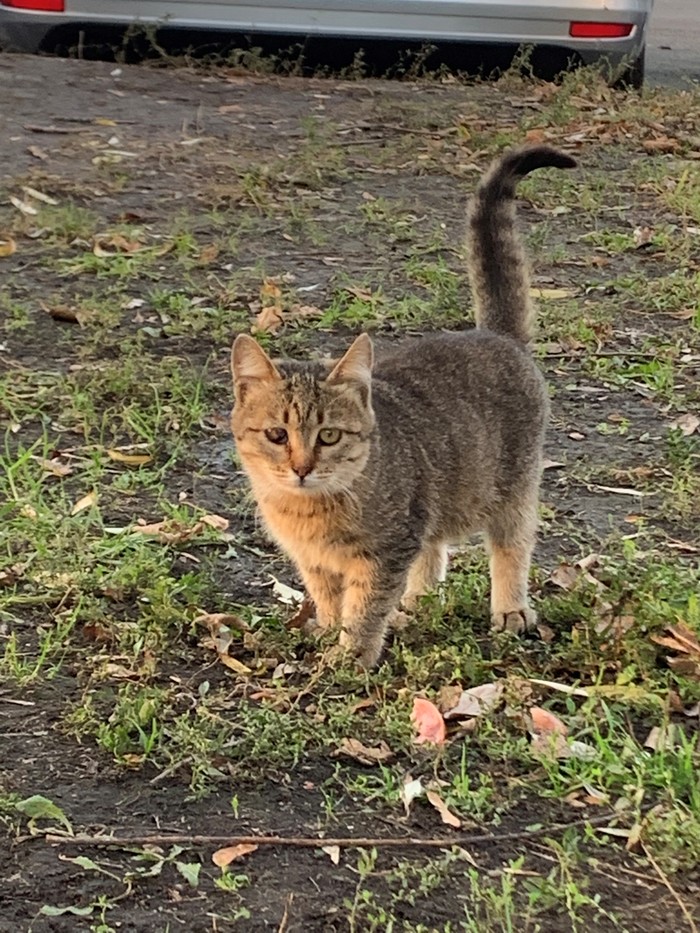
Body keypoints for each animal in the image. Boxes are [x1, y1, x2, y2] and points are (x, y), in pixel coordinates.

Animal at [230, 144, 576, 668]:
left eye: (328, 435)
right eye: (276, 434)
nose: (301, 468)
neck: (310, 512)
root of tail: (495, 335)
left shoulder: (387, 550)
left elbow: (364, 608)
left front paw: (350, 658)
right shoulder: (317, 561)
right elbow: (328, 597)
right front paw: (326, 632)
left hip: (512, 489)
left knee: (512, 546)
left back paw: (510, 609)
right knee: (434, 550)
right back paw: (418, 601)